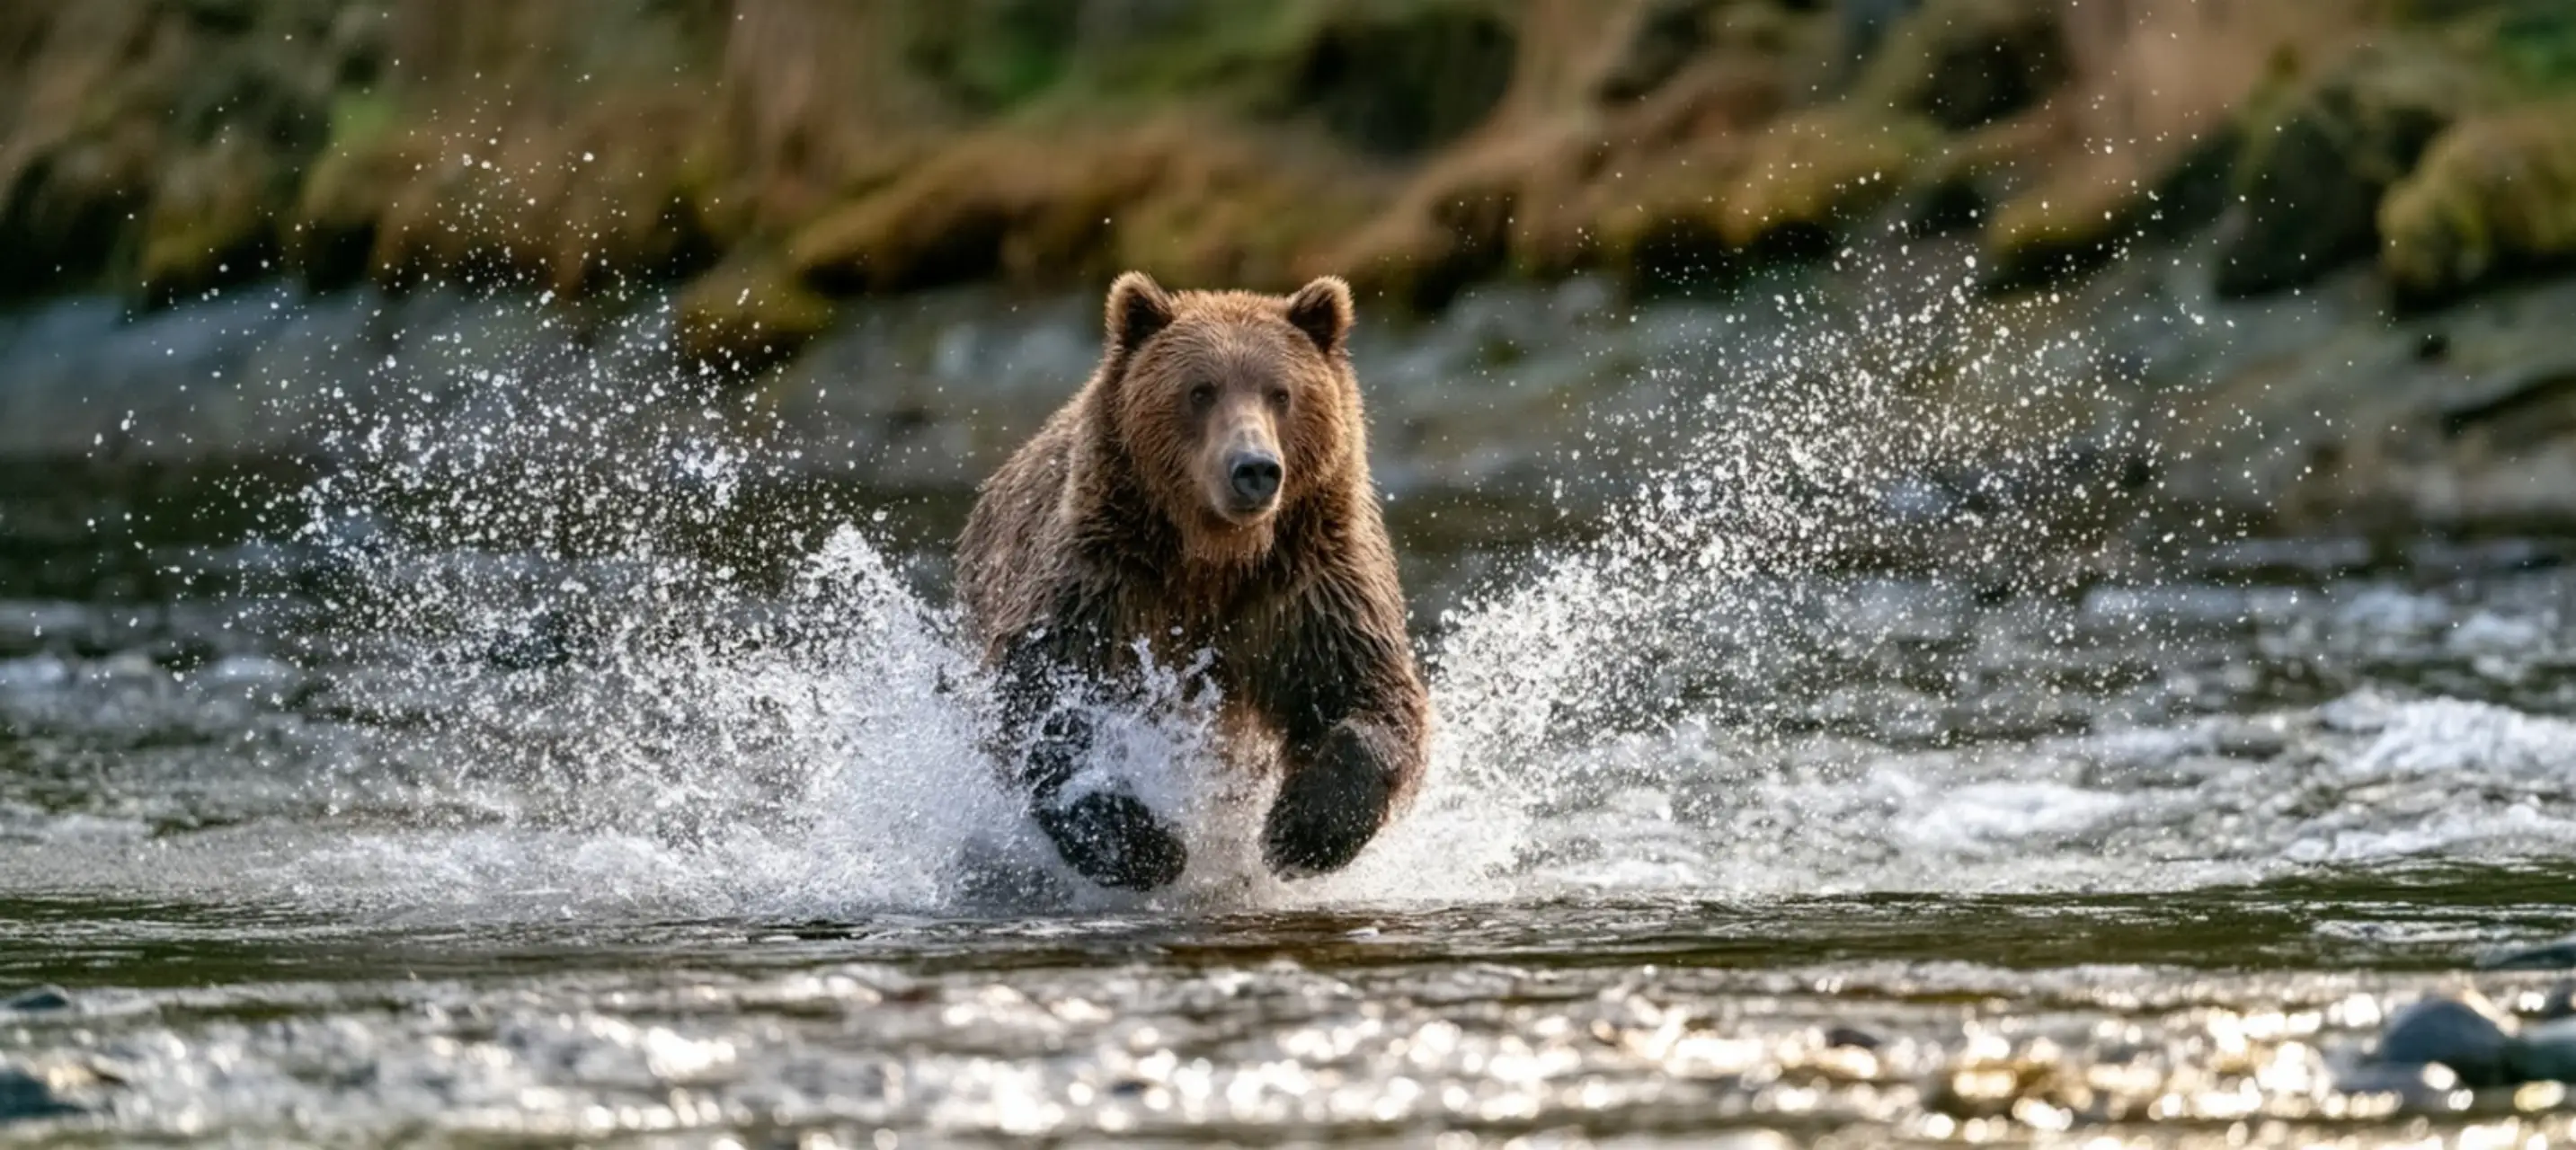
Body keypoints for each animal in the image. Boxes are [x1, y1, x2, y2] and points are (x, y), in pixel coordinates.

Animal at [953, 271, 1430, 892]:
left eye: (1281, 393)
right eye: (1200, 390)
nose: (1254, 468)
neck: (1214, 555)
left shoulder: (1308, 586)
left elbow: (1370, 693)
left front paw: (1303, 831)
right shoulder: (1104, 582)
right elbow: (1041, 698)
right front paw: (1144, 845)